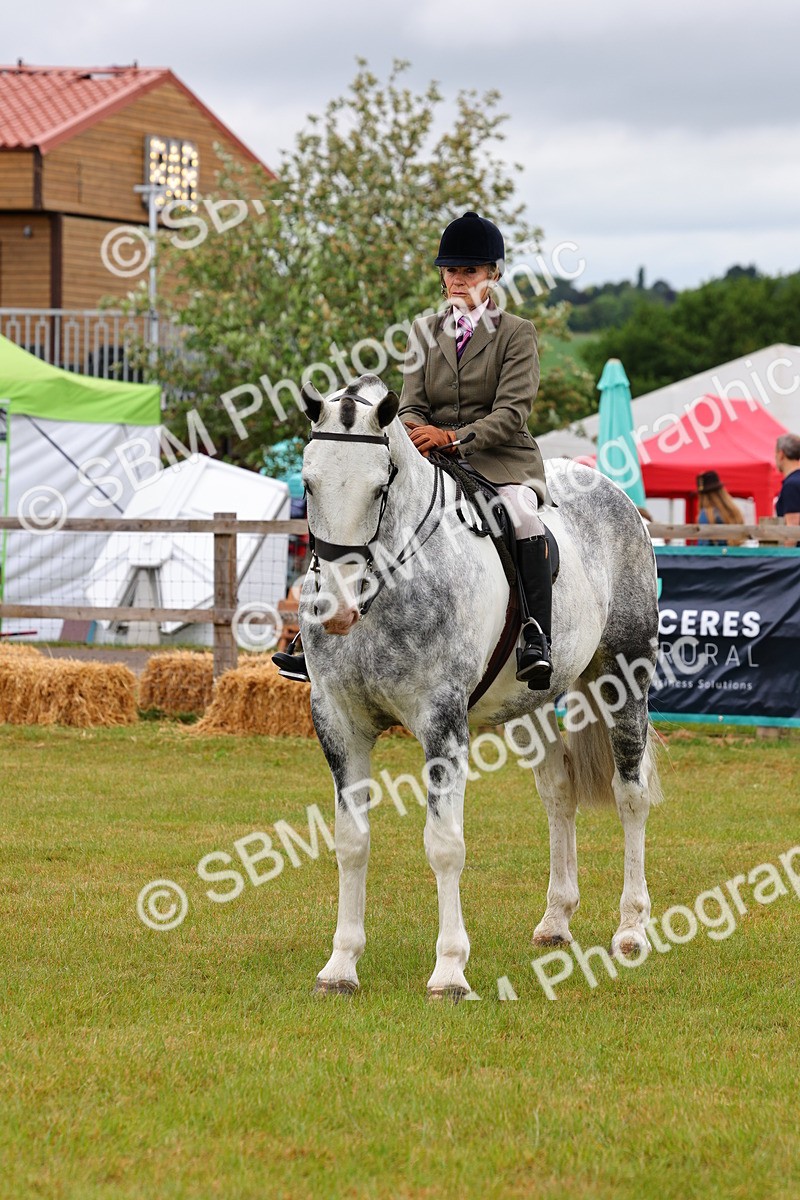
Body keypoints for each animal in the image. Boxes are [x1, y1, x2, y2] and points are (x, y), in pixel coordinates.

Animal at [297, 373, 662, 999]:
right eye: (308, 483)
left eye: (379, 488)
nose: (337, 611)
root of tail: (618, 497)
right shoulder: (340, 723)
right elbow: (350, 841)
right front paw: (340, 966)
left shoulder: (442, 723)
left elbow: (444, 846)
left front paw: (449, 971)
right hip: (531, 703)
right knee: (558, 792)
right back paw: (555, 921)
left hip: (624, 676)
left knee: (629, 794)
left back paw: (631, 930)